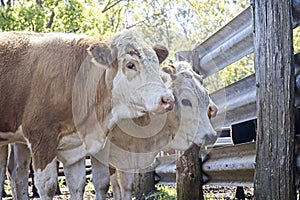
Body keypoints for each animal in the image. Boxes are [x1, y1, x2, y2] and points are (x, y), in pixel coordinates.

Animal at [0, 28, 173, 199]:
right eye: (131, 65)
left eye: (156, 64)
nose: (167, 99)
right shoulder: (42, 141)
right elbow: (47, 187)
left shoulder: (75, 148)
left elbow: (79, 185)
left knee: (17, 172)